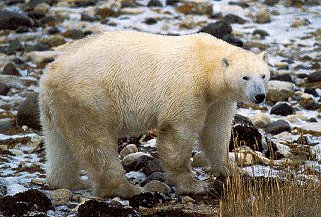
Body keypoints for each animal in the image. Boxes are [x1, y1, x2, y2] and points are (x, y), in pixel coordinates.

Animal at [39, 31, 270, 198]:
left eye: (263, 75)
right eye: (245, 77)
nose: (260, 96)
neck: (204, 63)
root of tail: (49, 75)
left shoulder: (218, 101)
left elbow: (215, 132)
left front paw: (232, 170)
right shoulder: (186, 88)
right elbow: (178, 132)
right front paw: (193, 185)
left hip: (56, 107)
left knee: (59, 144)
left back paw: (69, 182)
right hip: (90, 98)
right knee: (97, 143)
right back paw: (126, 189)